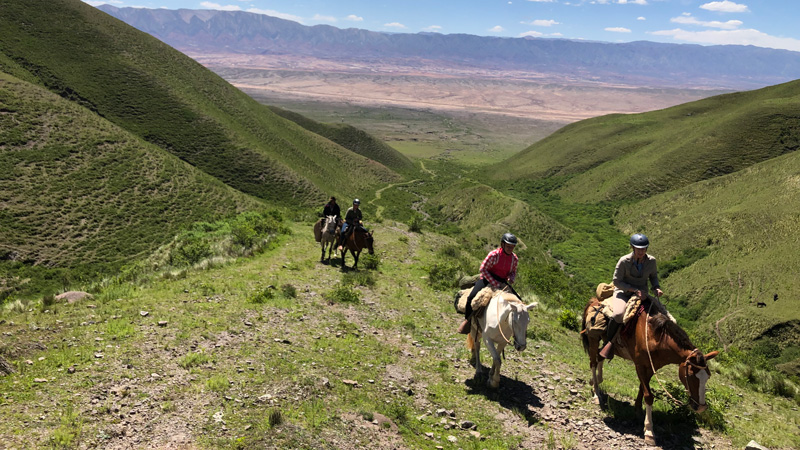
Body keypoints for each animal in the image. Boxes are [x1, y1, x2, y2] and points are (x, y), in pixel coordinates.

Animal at [580, 296, 720, 446]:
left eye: (708, 377)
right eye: (691, 375)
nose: (701, 407)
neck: (655, 337)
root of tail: (594, 300)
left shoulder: (652, 368)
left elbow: (642, 388)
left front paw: (638, 411)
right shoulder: (640, 365)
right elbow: (648, 395)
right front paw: (649, 431)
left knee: (600, 356)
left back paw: (595, 381)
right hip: (593, 338)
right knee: (593, 362)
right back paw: (596, 393)